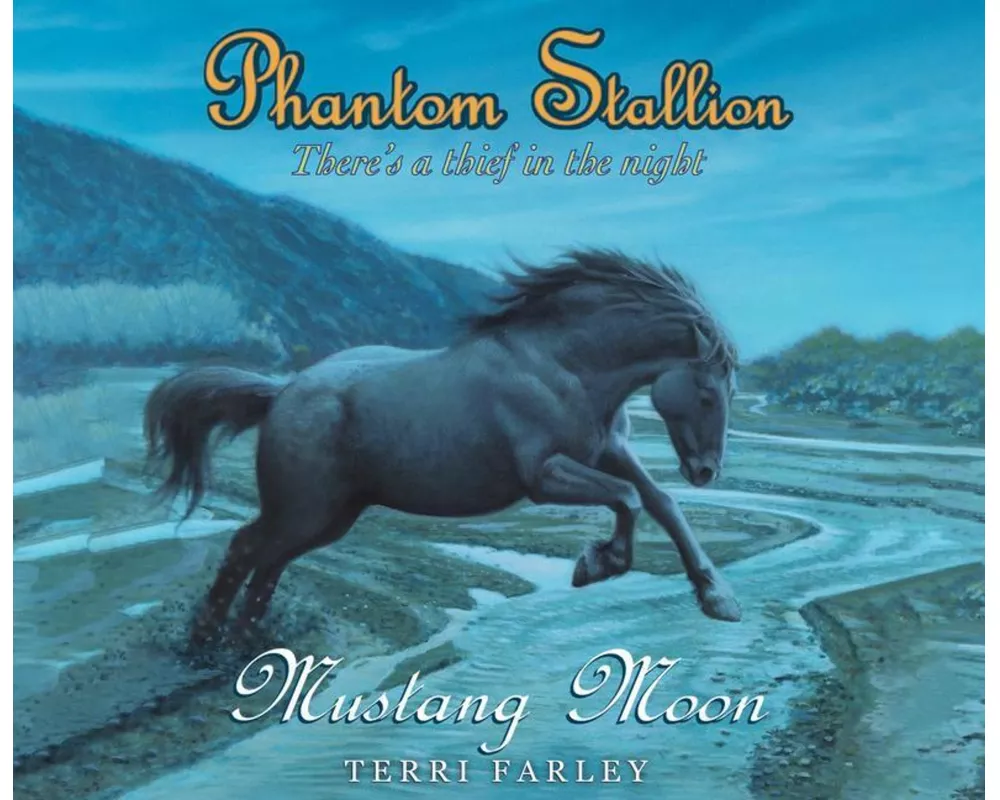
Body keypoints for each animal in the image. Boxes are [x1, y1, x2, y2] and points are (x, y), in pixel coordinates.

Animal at [143, 248, 742, 649]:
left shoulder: (607, 451)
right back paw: (204, 645)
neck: (564, 365)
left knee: (269, 560)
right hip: (303, 509)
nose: (706, 471)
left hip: (329, 516)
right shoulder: (545, 475)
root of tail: (282, 393)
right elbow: (628, 499)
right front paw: (597, 564)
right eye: (708, 393)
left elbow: (661, 502)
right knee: (247, 548)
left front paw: (719, 599)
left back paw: (245, 646)